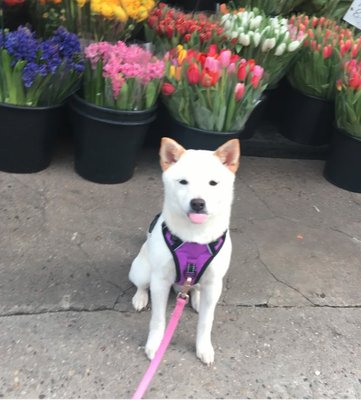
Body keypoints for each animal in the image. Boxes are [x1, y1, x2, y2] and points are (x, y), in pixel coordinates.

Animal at [129, 138, 239, 366]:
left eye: (213, 183)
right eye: (183, 182)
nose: (198, 203)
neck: (195, 237)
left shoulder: (214, 283)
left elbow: (206, 321)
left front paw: (203, 347)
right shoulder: (160, 281)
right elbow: (158, 319)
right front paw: (155, 344)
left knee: (196, 289)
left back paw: (196, 298)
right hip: (143, 271)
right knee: (141, 285)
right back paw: (140, 298)